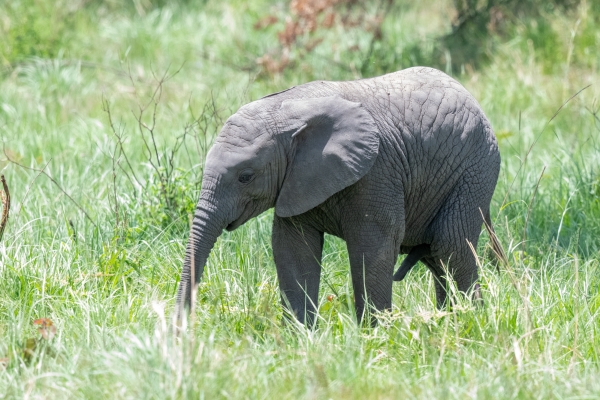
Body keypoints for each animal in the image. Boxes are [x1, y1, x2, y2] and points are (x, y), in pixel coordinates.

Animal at [177, 67, 502, 326]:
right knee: (437, 256)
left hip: (476, 169)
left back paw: (470, 322)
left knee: (450, 245)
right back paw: (449, 320)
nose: (180, 329)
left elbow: (373, 245)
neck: (287, 110)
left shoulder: (376, 171)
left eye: (245, 176)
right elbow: (292, 249)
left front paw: (374, 337)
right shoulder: (297, 181)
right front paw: (300, 339)